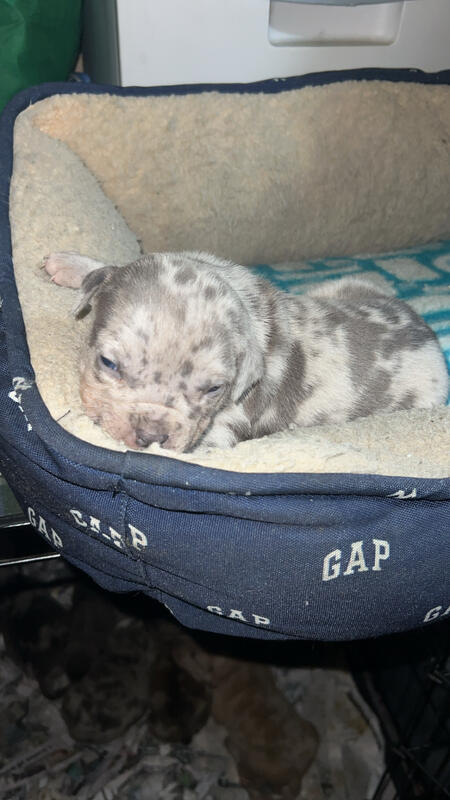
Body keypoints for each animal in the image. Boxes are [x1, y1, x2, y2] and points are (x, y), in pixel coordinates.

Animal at [43, 250, 448, 453]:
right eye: (108, 363)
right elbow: (113, 265)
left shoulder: (225, 428)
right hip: (343, 287)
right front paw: (71, 264)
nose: (152, 437)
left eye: (213, 389)